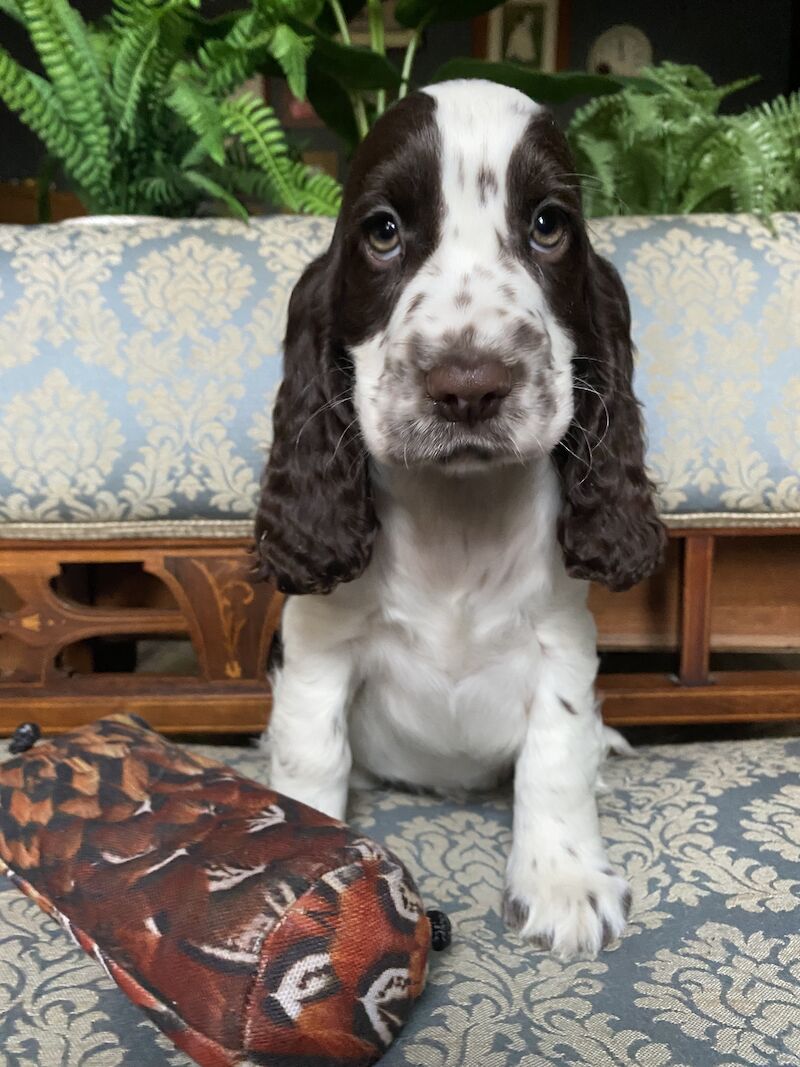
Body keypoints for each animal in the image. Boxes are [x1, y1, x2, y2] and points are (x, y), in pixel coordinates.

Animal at [254, 78, 665, 956]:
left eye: (549, 224)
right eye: (383, 231)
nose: (468, 385)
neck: (459, 511)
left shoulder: (563, 639)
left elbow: (556, 753)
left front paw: (563, 881)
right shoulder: (317, 645)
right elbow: (310, 756)